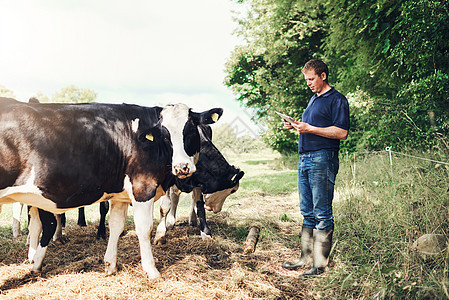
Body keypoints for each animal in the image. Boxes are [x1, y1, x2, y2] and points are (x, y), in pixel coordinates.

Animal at [0, 99, 224, 280]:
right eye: (165, 134)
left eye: (190, 129)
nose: (181, 167)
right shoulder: (143, 188)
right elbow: (144, 229)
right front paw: (152, 271)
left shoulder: (120, 196)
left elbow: (116, 226)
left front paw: (110, 265)